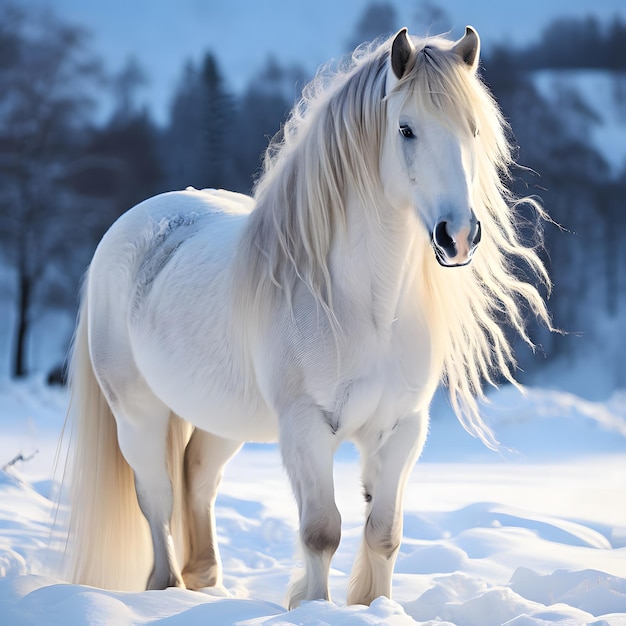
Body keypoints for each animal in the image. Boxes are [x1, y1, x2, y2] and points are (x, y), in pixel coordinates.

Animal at [66, 26, 548, 608]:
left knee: (198, 478)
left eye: (473, 129)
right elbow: (322, 531)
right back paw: (169, 589)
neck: (366, 308)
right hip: (138, 415)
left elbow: (383, 533)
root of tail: (127, 227)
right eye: (406, 128)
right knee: (157, 498)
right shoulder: (306, 429)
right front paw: (314, 605)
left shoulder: (402, 429)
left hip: (223, 420)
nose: (457, 235)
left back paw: (206, 584)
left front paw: (375, 606)